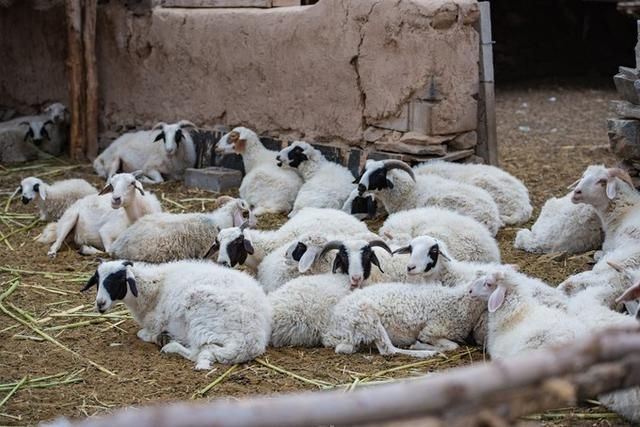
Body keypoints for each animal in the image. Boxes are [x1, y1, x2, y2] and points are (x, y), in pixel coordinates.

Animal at [81, 260, 272, 370]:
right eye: (98, 280)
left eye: (118, 280)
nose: (100, 304)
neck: (153, 289)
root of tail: (250, 342)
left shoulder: (156, 321)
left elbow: (143, 333)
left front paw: (154, 336)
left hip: (199, 313)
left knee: (196, 352)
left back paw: (169, 345)